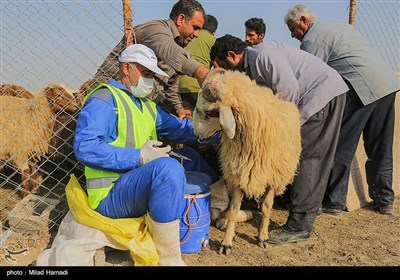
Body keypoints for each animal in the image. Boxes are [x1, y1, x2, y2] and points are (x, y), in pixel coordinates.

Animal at [192, 69, 302, 255]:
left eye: (208, 113)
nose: (197, 135)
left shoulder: (273, 177)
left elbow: (266, 207)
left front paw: (262, 237)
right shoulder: (240, 174)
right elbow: (234, 209)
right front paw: (226, 242)